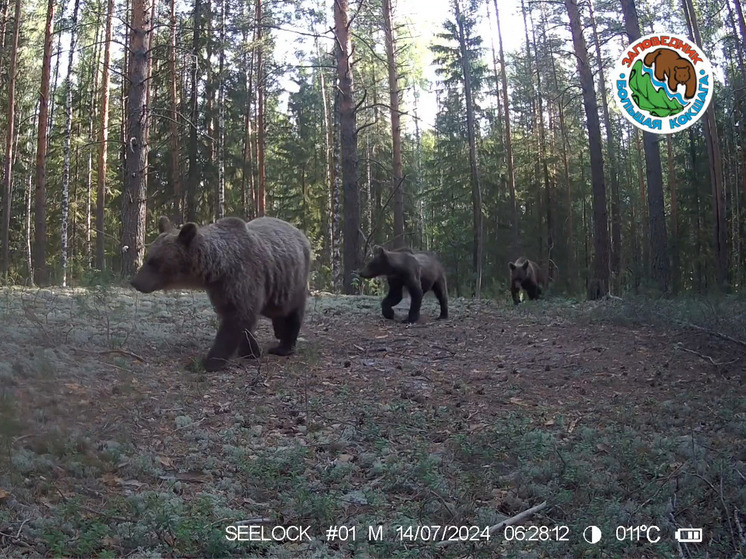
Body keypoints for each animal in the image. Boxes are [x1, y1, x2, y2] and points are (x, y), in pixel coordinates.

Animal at [132, 218, 310, 372]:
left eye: (154, 261)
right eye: (148, 256)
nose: (135, 282)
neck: (219, 269)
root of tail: (299, 232)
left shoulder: (243, 279)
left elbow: (235, 321)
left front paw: (207, 362)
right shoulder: (220, 291)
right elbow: (241, 322)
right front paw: (250, 351)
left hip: (293, 281)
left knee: (292, 312)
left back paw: (283, 347)